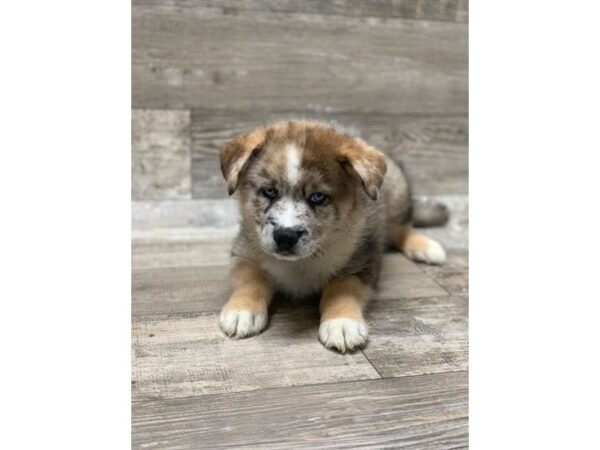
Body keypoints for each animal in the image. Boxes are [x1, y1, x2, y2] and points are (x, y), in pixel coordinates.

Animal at [219, 121, 446, 354]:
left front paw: (342, 323)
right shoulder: (244, 252)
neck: (302, 262)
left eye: (318, 197)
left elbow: (341, 290)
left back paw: (427, 247)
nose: (285, 236)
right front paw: (242, 311)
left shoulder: (360, 262)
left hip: (396, 198)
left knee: (402, 228)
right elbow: (251, 279)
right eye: (270, 191)